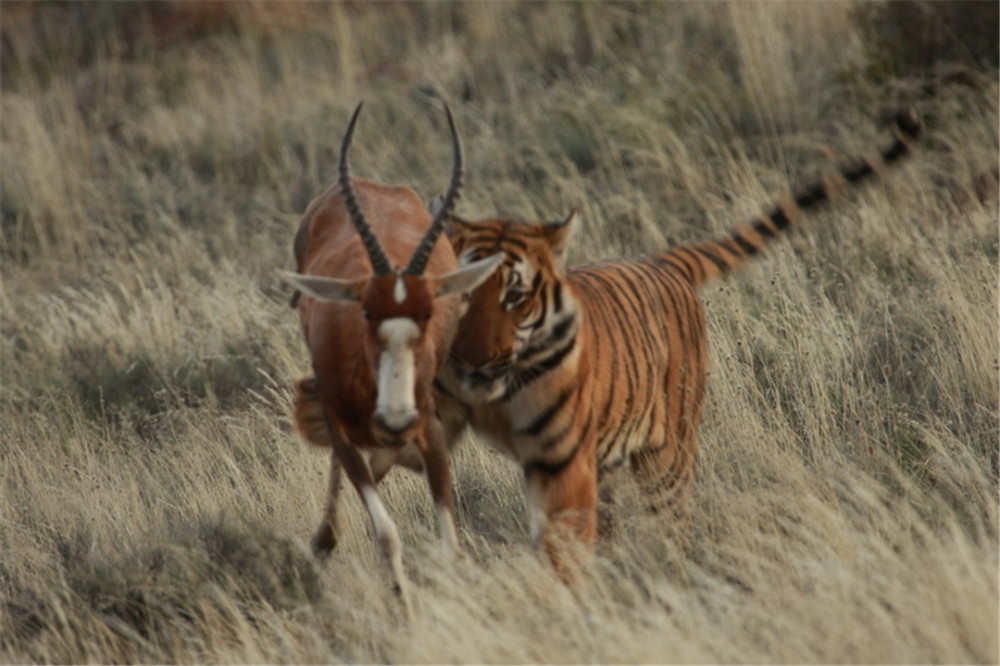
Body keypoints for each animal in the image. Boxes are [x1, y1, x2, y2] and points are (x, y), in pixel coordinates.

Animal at [278, 102, 500, 608]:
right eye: (365, 312)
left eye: (428, 313)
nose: (395, 419)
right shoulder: (345, 435)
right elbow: (386, 534)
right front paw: (405, 609)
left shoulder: (431, 435)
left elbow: (450, 544)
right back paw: (323, 542)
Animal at [432, 107, 920, 572]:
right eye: (463, 292)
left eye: (515, 297)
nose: (475, 360)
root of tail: (661, 260)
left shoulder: (562, 461)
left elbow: (562, 549)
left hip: (668, 453)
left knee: (672, 526)